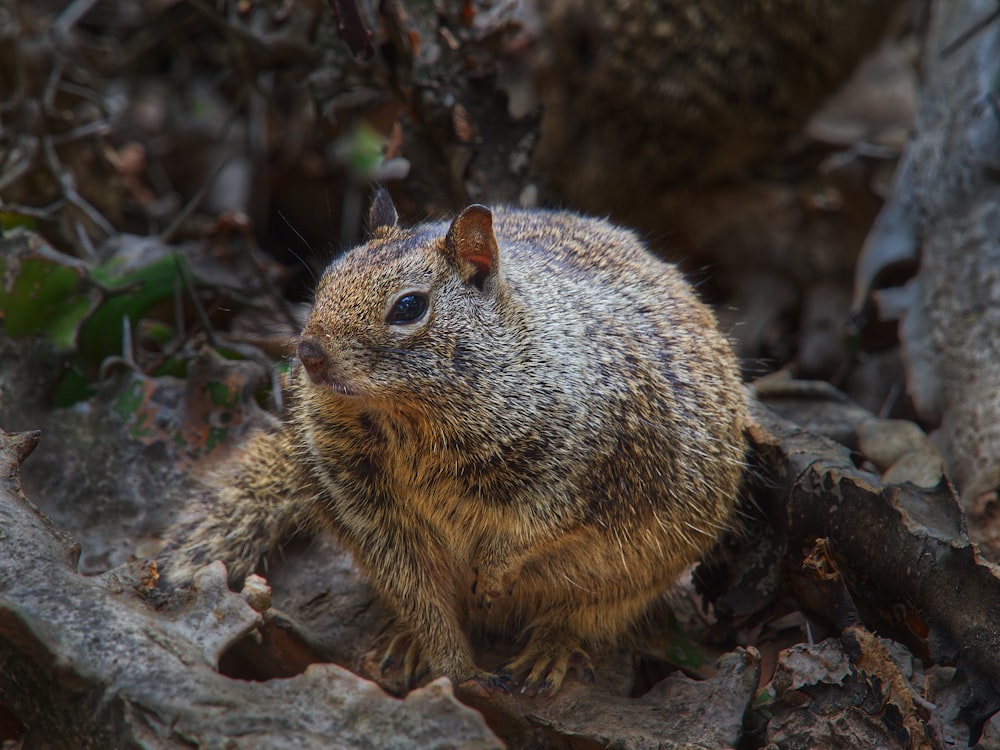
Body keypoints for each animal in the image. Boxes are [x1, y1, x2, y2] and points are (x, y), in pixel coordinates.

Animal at [158, 189, 752, 700]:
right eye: (325, 281)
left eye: (408, 307)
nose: (309, 353)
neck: (409, 418)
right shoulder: (372, 513)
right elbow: (421, 597)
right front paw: (454, 669)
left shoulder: (583, 470)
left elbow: (536, 527)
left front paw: (491, 577)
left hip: (631, 578)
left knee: (583, 617)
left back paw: (548, 651)